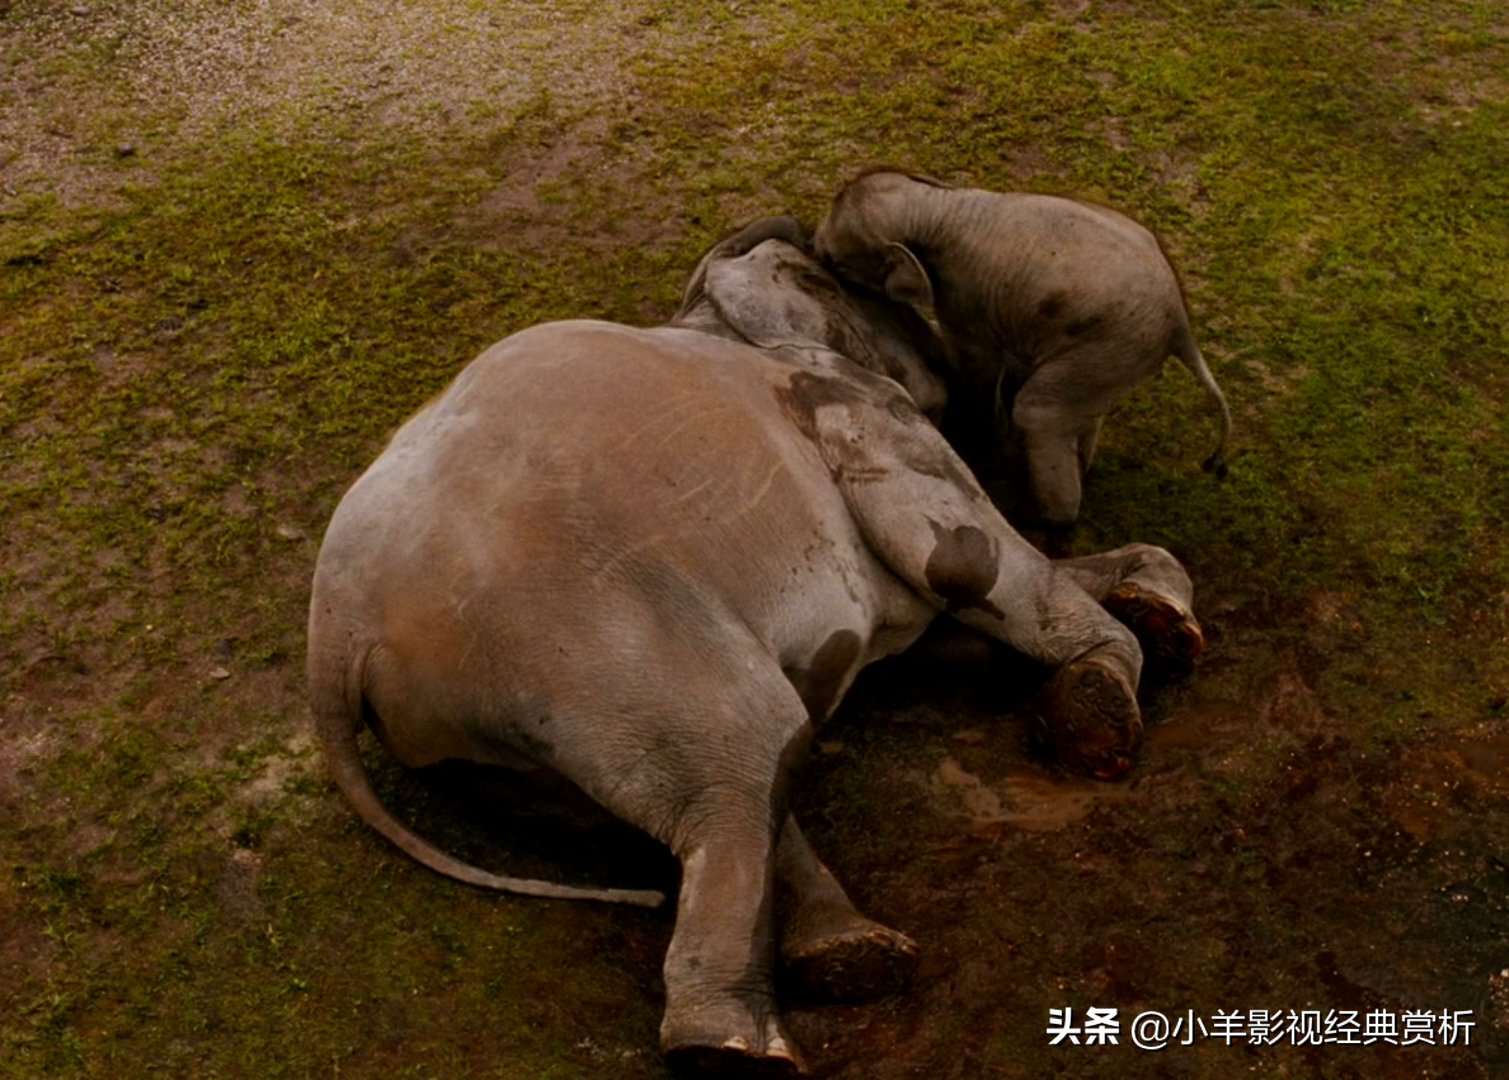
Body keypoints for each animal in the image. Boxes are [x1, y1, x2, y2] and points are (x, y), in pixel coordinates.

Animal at [307, 218, 1205, 1076]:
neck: (714, 312)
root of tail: (337, 633)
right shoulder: (853, 408)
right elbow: (963, 561)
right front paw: (1098, 715)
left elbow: (942, 623)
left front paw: (1158, 618)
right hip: (586, 639)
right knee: (750, 751)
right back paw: (736, 1050)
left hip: (486, 739)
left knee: (725, 785)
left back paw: (846, 959)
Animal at [812, 169, 1233, 528]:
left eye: (836, 263)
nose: (813, 246)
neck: (937, 206)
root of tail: (1180, 323)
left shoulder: (962, 297)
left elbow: (977, 364)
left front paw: (990, 437)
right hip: (1116, 357)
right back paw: (1081, 466)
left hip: (1115, 344)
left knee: (1038, 411)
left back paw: (1044, 520)